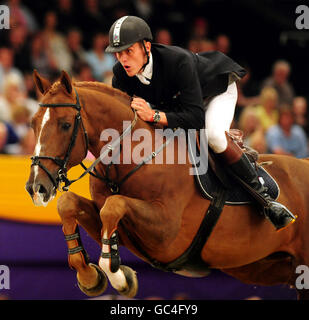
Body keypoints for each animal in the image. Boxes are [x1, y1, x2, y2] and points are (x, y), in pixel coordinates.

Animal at [25, 71, 308, 298]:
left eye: (65, 125)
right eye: (33, 123)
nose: (36, 188)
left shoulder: (166, 231)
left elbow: (114, 206)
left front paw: (117, 275)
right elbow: (69, 203)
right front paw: (90, 276)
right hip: (266, 268)